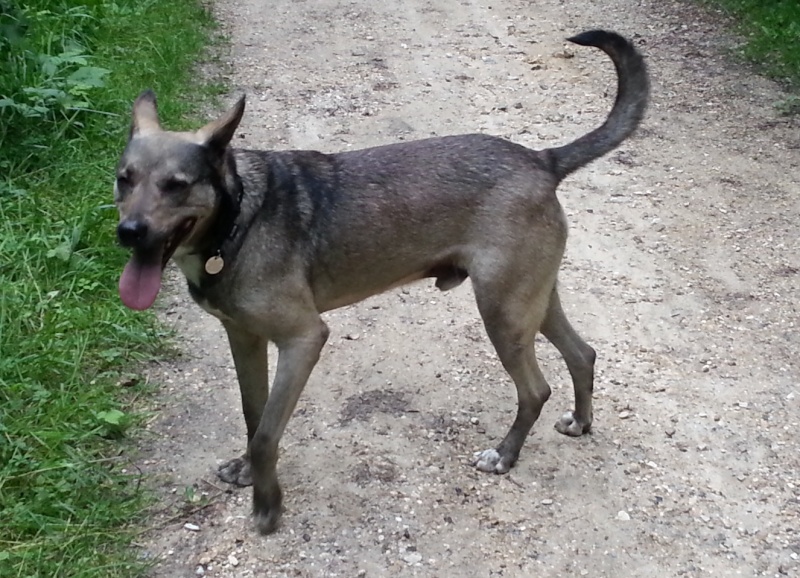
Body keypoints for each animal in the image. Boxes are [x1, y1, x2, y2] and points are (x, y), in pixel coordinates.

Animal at [114, 30, 648, 532]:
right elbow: (254, 414)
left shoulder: (303, 338)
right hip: (530, 301)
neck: (237, 218)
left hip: (503, 312)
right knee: (583, 354)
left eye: (177, 185)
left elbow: (267, 433)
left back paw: (505, 455)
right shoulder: (243, 337)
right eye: (124, 178)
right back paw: (581, 421)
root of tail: (542, 159)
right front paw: (248, 472)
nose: (128, 232)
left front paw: (268, 506)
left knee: (535, 390)